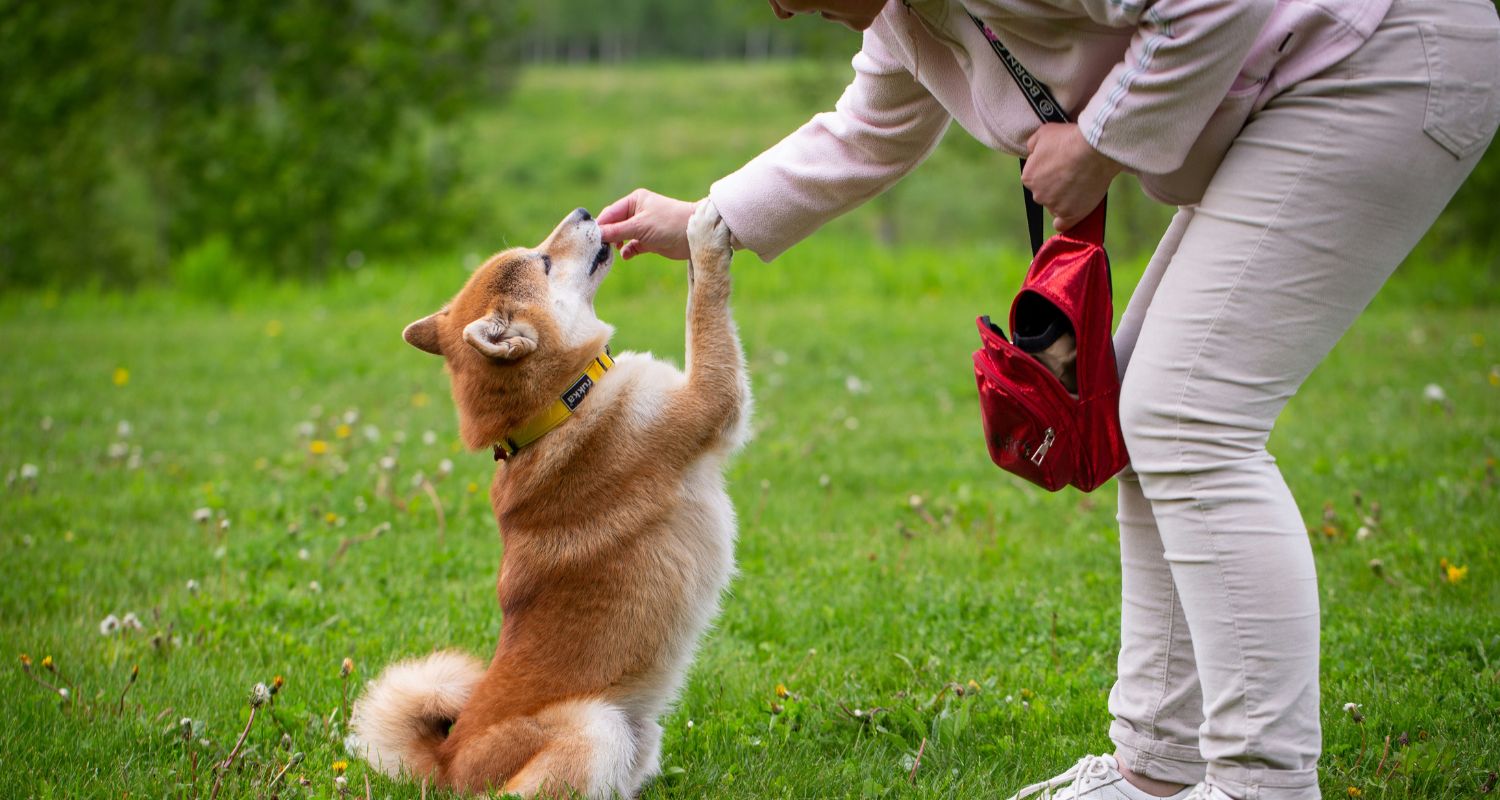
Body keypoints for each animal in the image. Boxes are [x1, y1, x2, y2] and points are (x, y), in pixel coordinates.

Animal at [348, 201, 750, 792]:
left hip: (636, 736)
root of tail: (446, 765)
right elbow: (703, 306)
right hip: (595, 726)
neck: (561, 406)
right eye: (542, 261)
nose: (584, 211)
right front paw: (702, 235)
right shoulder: (710, 400)